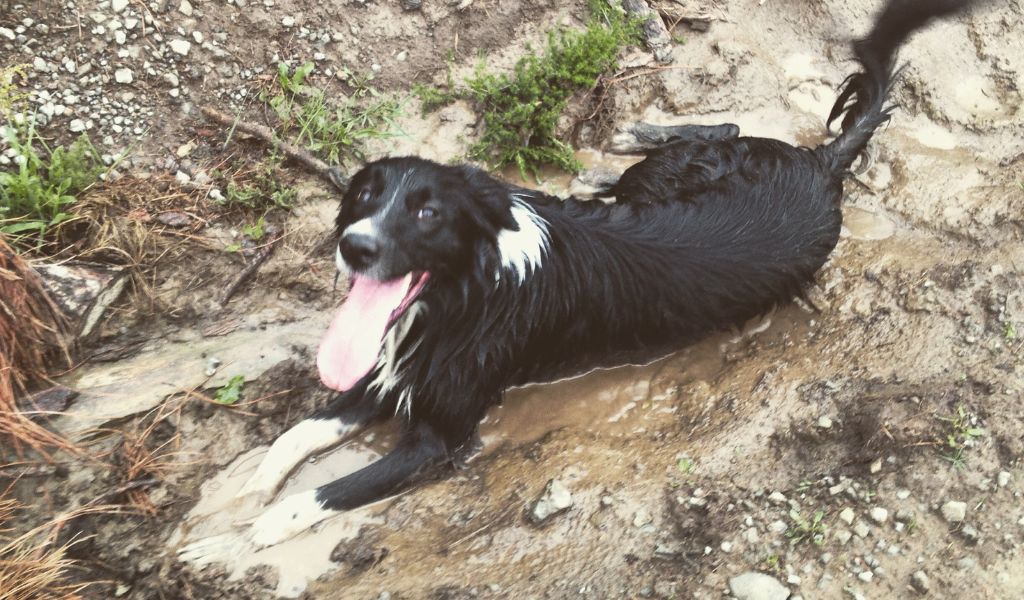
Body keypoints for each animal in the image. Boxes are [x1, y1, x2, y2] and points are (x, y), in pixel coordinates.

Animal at [226, 0, 983, 544]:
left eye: (427, 213)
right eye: (363, 197)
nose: (354, 247)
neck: (466, 293)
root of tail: (822, 167)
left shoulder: (443, 433)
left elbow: (330, 489)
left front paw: (253, 528)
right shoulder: (394, 366)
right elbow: (301, 431)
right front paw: (247, 488)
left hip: (679, 180)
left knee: (719, 132)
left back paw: (617, 149)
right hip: (683, 174)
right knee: (725, 129)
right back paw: (620, 146)